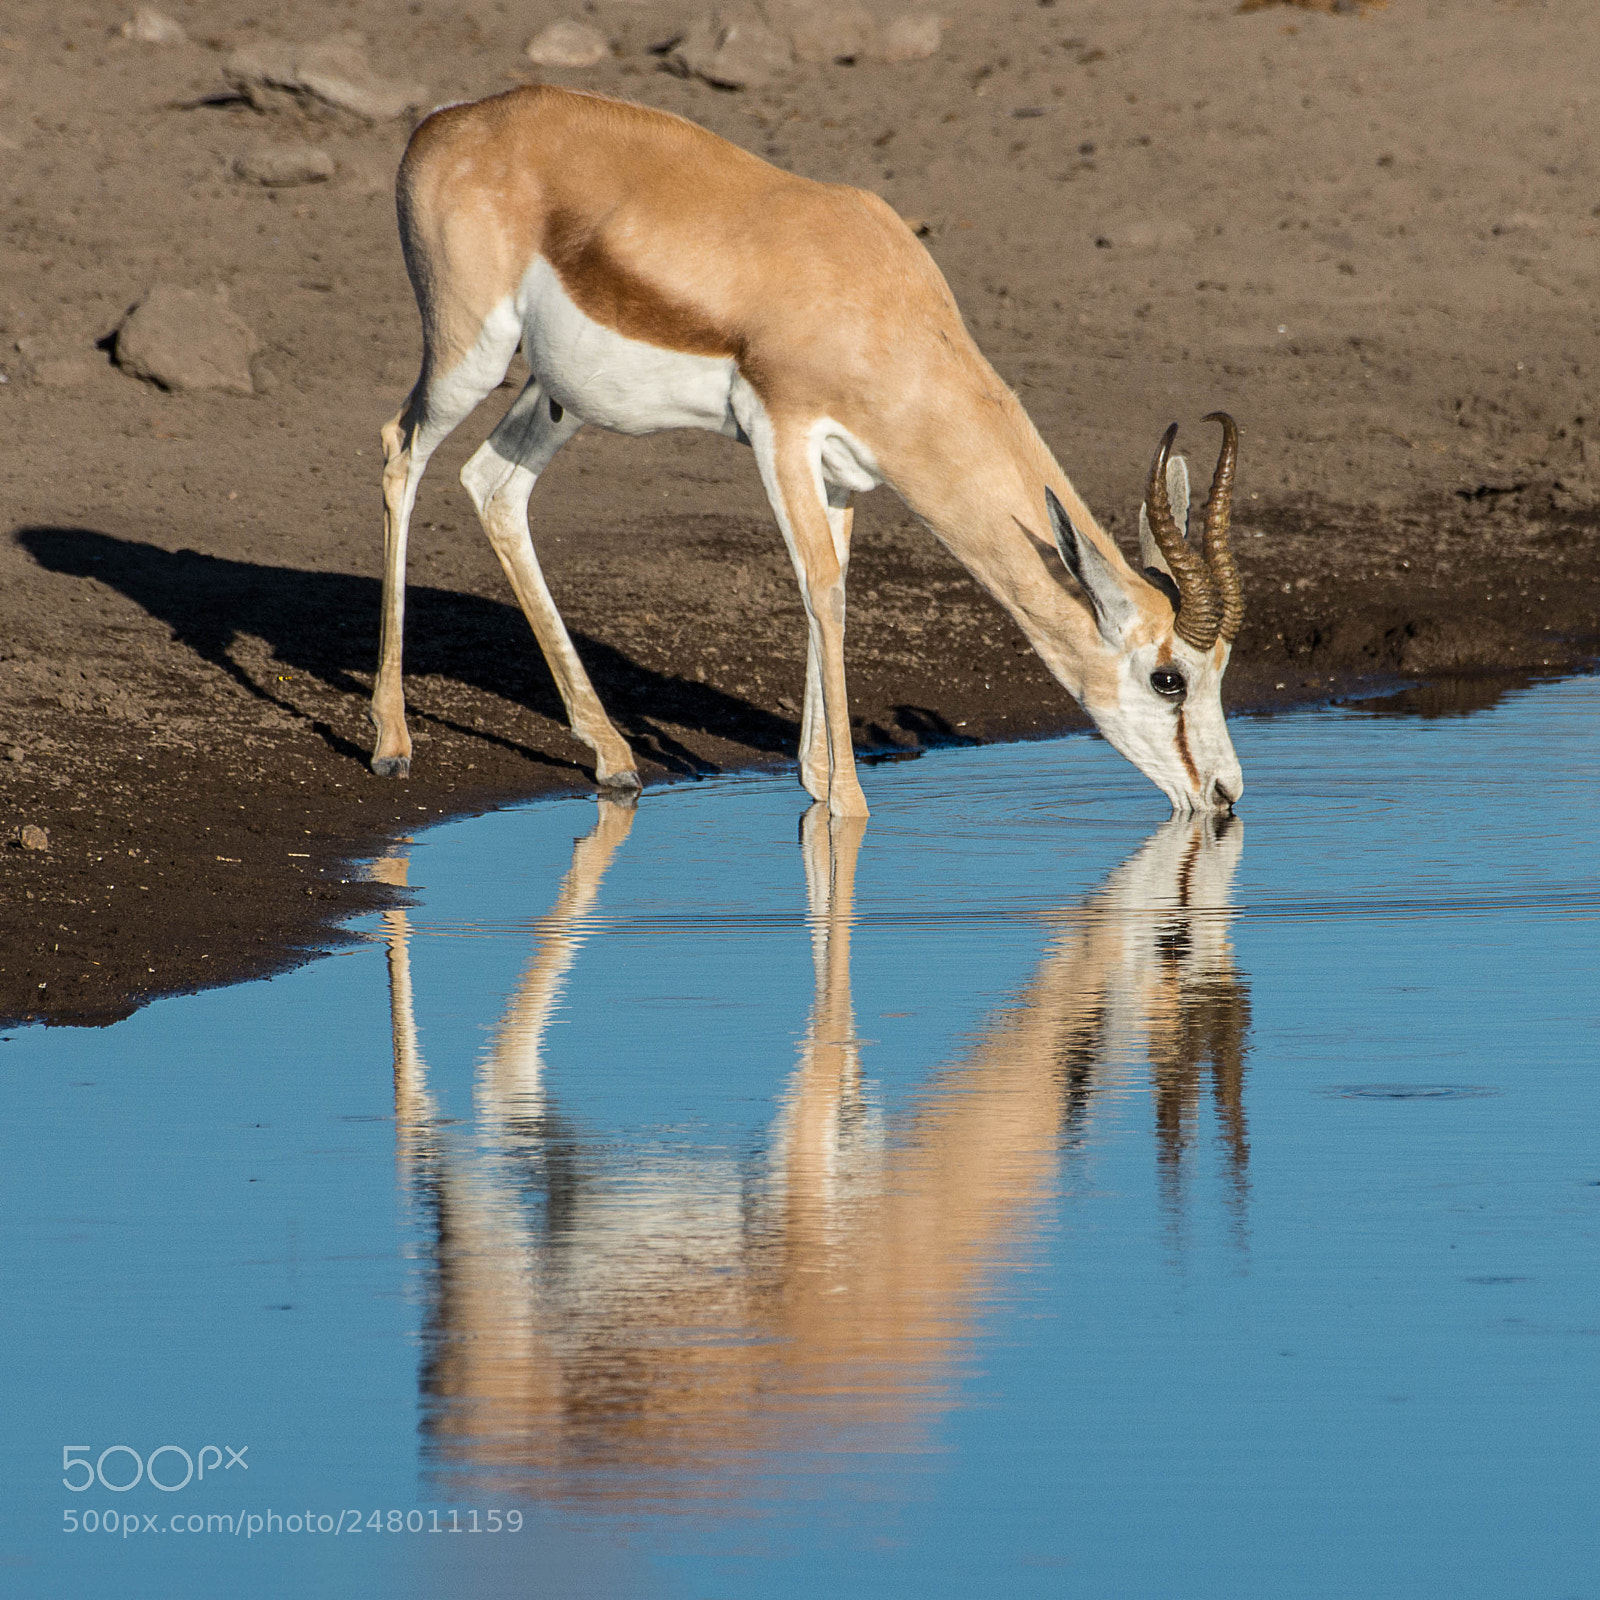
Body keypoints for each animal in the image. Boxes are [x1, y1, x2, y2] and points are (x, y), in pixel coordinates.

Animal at [374, 85, 1247, 817]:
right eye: (1169, 678)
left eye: (1221, 673)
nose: (1227, 793)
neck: (879, 303)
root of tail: (449, 121)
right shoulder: (782, 433)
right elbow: (819, 587)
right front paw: (848, 806)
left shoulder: (843, 473)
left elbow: (838, 583)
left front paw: (819, 779)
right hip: (470, 352)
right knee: (400, 453)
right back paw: (391, 744)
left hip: (557, 394)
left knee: (493, 484)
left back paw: (614, 757)